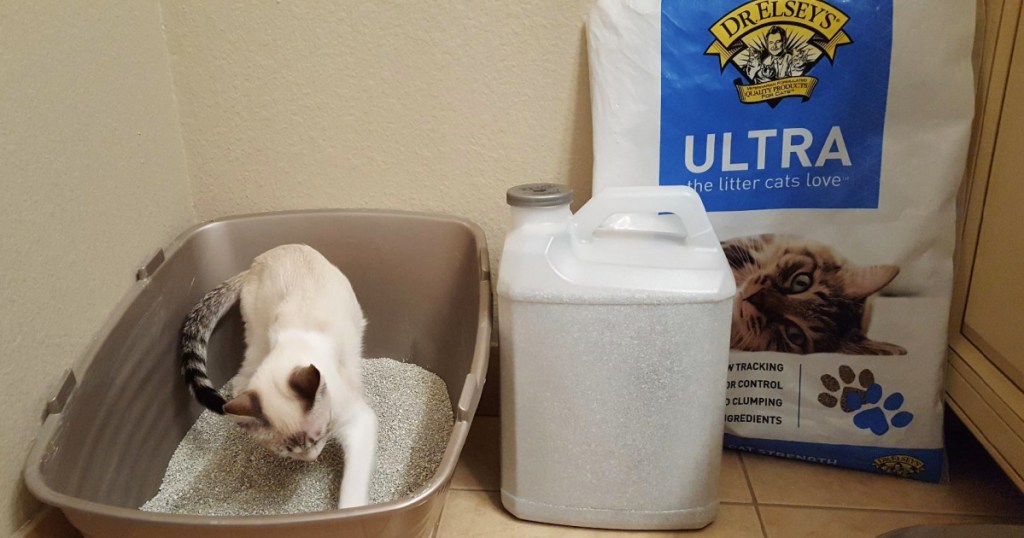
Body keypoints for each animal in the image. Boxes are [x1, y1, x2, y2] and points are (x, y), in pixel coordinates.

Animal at [181, 242, 380, 508]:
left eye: (317, 438)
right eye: (287, 451)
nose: (311, 459)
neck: (295, 348)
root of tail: (261, 259)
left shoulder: (358, 421)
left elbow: (351, 488)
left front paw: (351, 513)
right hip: (255, 334)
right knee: (241, 377)